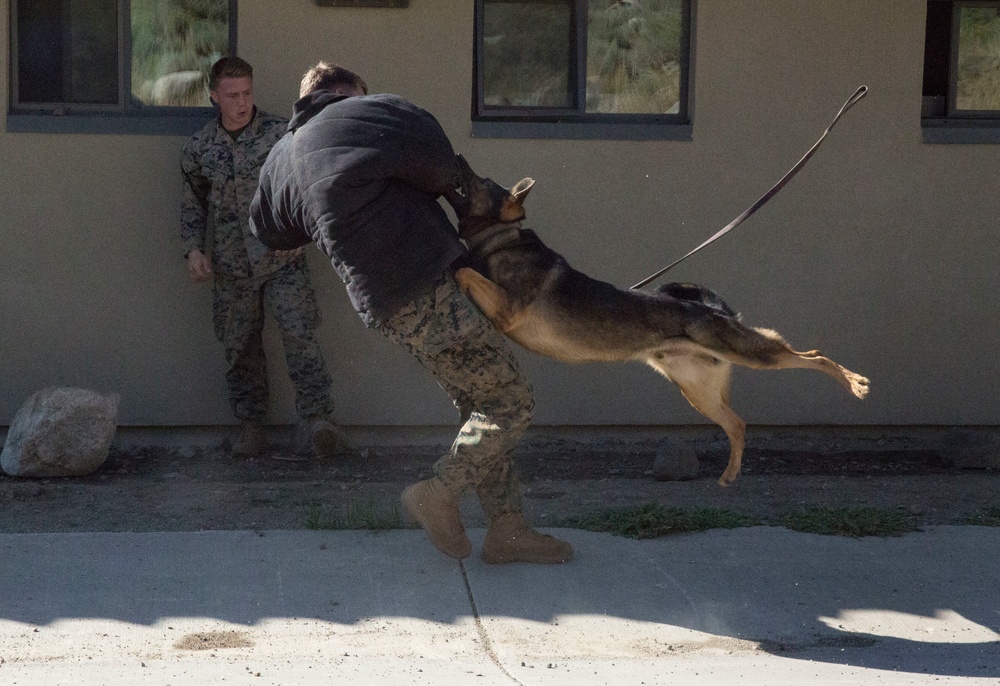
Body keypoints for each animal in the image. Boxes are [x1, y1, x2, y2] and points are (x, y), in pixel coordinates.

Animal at [450, 157, 872, 490]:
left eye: (479, 180)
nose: (458, 158)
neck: (502, 238)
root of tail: (714, 309)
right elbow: (467, 270)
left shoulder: (507, 309)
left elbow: (464, 271)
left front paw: (457, 264)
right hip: (697, 390)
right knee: (737, 423)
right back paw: (729, 475)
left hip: (746, 352)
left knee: (813, 356)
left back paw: (853, 382)